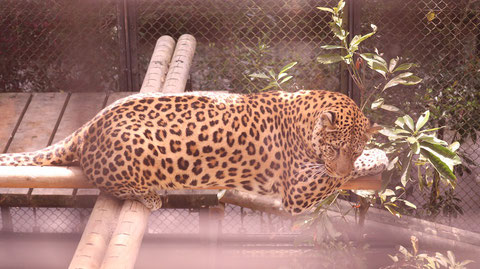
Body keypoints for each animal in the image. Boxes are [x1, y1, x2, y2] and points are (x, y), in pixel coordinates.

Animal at [0, 90, 382, 214]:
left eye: (353, 148)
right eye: (334, 148)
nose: (341, 169)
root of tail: (88, 125)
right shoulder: (298, 189)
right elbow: (331, 177)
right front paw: (379, 157)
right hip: (134, 150)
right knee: (108, 183)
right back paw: (149, 196)